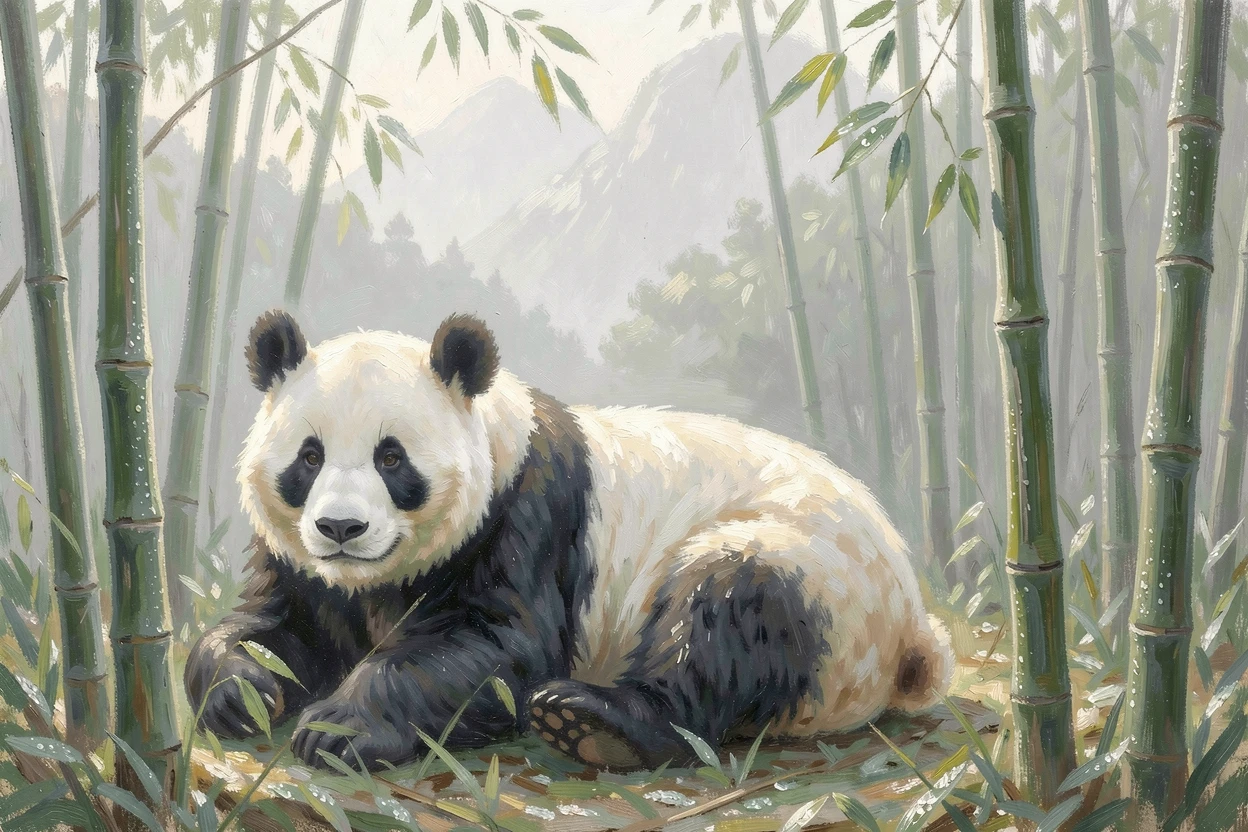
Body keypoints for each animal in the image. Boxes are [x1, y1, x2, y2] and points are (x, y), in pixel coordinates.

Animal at [186, 310, 952, 771]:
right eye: (309, 457)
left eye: (392, 458)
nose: (341, 529)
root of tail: (912, 629)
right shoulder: (304, 568)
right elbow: (274, 624)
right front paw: (244, 690)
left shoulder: (523, 519)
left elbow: (498, 647)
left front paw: (339, 727)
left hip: (810, 567)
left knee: (724, 617)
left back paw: (593, 723)